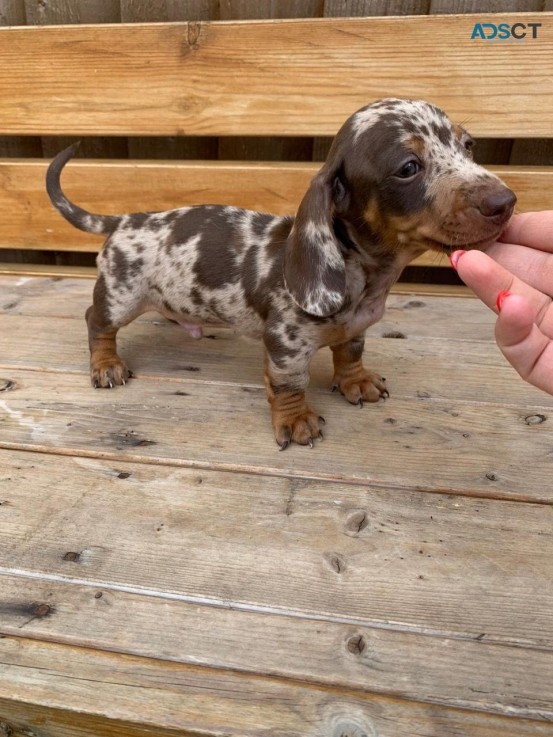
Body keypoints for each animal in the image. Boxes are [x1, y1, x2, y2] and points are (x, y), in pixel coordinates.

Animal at [46, 98, 512, 448]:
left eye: (469, 146)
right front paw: (296, 420)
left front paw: (356, 382)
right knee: (97, 322)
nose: (506, 201)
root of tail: (125, 219)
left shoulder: (355, 329)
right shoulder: (284, 346)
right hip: (120, 296)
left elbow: (350, 353)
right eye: (409, 167)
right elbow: (289, 385)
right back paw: (106, 365)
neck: (365, 273)